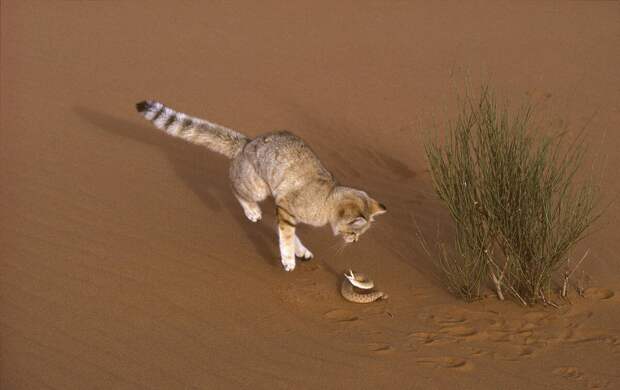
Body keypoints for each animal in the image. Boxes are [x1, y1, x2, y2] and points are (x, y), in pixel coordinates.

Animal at [137, 100, 388, 272]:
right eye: (355, 232)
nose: (354, 241)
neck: (326, 199)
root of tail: (246, 143)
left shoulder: (284, 209)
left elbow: (290, 234)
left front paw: (300, 251)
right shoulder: (286, 206)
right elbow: (286, 236)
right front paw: (288, 259)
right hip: (257, 187)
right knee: (233, 185)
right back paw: (252, 211)